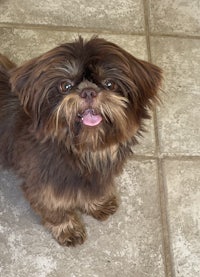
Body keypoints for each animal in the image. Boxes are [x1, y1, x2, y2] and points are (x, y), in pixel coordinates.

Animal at [0, 37, 162, 246]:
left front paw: (97, 204)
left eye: (109, 84)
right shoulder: (44, 185)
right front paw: (67, 228)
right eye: (65, 86)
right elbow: (54, 209)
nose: (88, 91)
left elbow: (91, 191)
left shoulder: (97, 177)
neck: (83, 149)